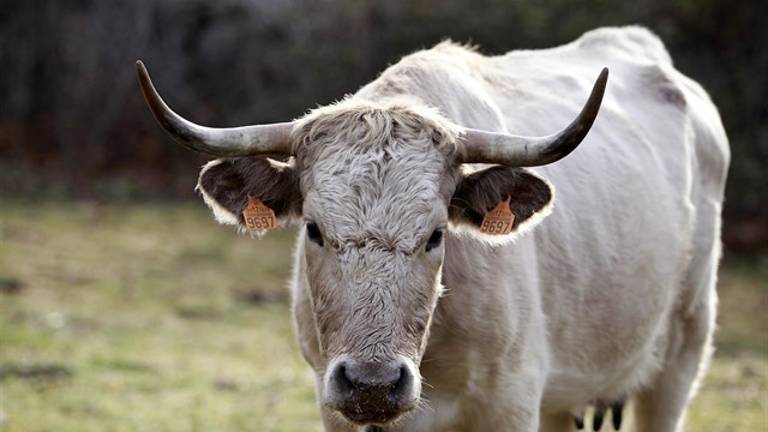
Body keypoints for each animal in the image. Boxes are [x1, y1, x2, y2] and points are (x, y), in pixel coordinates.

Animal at [138, 25, 732, 430]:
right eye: (314, 229)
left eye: (435, 235)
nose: (373, 384)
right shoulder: (334, 405)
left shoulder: (510, 402)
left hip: (681, 356)